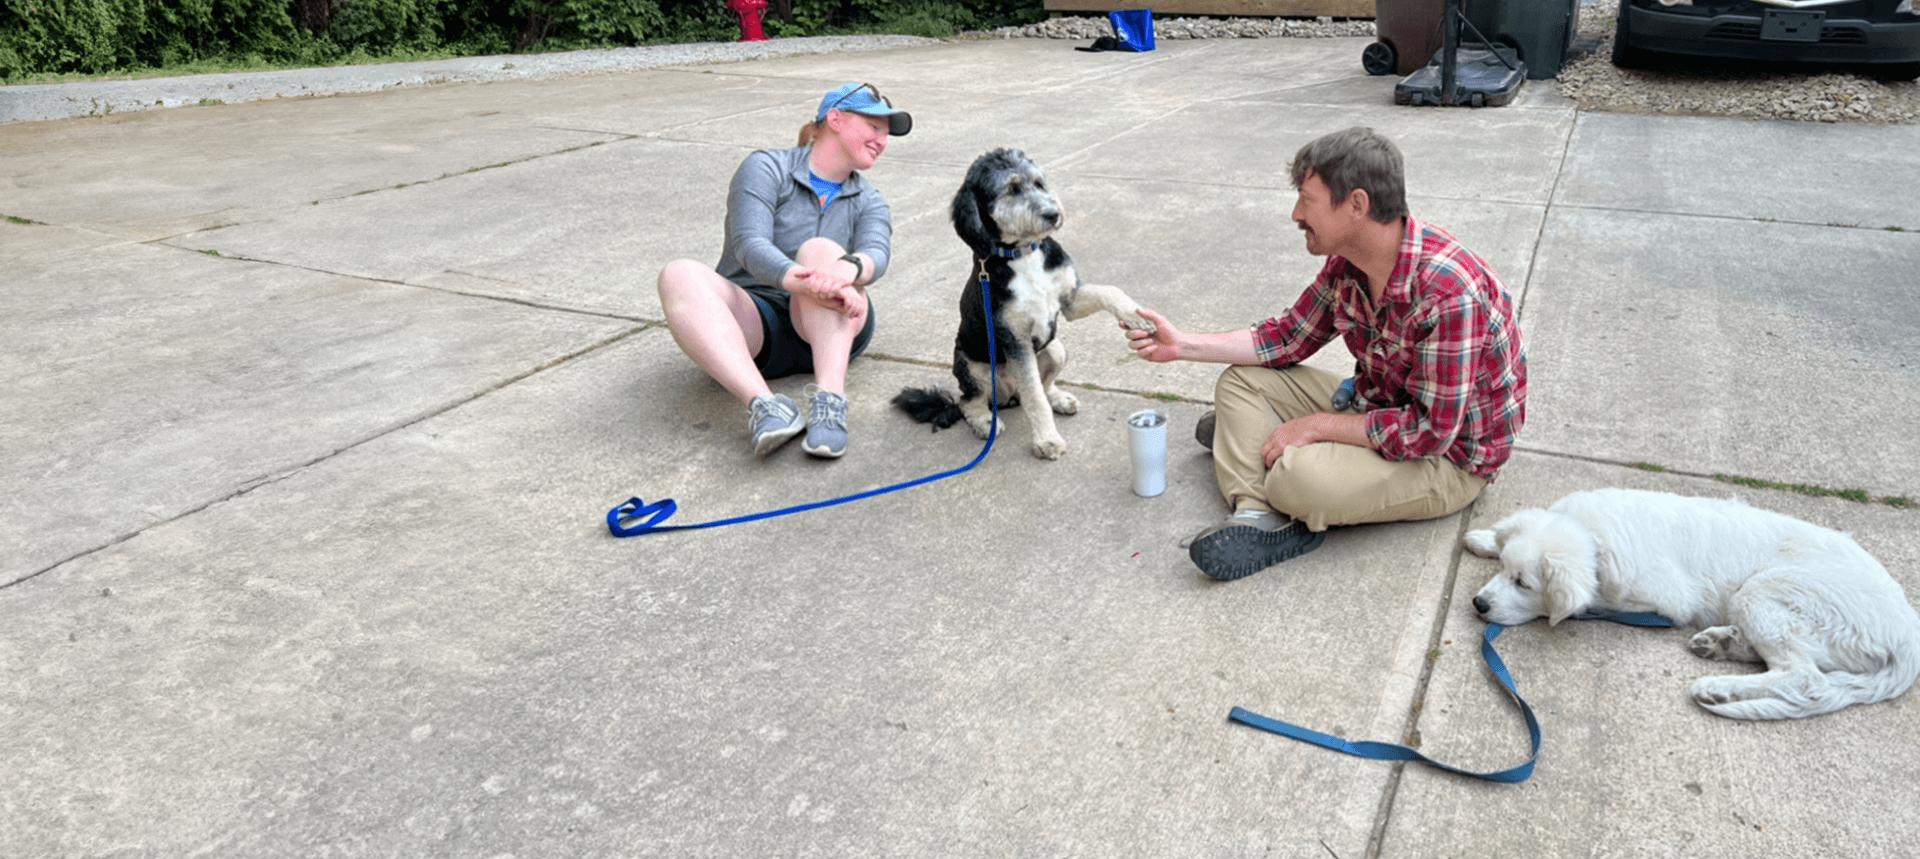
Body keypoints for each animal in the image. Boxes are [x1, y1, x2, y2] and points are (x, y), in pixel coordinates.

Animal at [887, 148, 1144, 461]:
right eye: (1011, 189)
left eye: (1039, 183)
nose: (1054, 214)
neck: (1023, 254)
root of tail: (1009, 395)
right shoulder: (1015, 338)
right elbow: (1034, 398)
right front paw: (1047, 440)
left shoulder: (1068, 300)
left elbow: (1110, 290)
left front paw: (1137, 315)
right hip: (970, 366)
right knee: (970, 401)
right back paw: (984, 421)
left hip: (1055, 349)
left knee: (1043, 386)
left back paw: (1058, 398)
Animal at [1466, 491, 1920, 718]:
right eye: (1505, 570)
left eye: (1524, 584)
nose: (1479, 604)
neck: (1593, 535)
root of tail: (1907, 638)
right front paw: (1485, 537)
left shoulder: (1665, 601)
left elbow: (1593, 601)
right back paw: (1721, 644)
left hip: (1765, 590)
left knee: (1804, 677)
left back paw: (1718, 686)